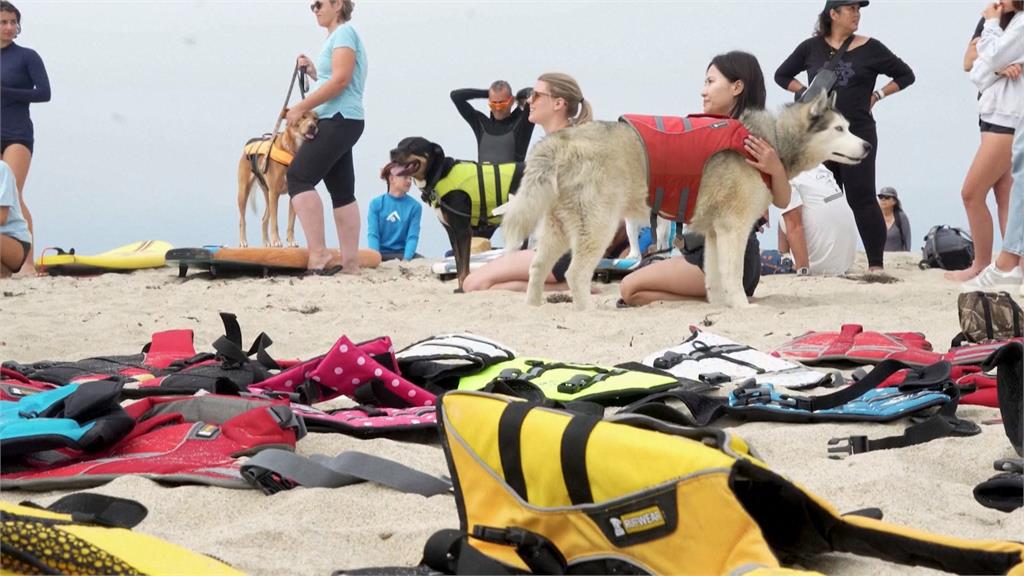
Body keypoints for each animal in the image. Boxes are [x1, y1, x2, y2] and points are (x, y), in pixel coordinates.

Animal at [387, 135, 524, 291]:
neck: (439, 175)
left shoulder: (462, 230)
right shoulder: (452, 232)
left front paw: (463, 289)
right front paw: (460, 287)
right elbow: (458, 264)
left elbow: (464, 266)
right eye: (399, 144)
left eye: (413, 145)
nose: (392, 152)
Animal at [499, 93, 868, 309]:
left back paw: (534, 308)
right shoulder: (733, 228)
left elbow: (715, 276)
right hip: (598, 224)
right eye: (838, 129)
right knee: (575, 273)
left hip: (559, 226)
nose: (866, 146)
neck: (769, 141)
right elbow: (733, 274)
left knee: (536, 267)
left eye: (849, 127)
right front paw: (742, 306)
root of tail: (560, 139)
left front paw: (720, 308)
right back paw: (586, 312)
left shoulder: (716, 232)